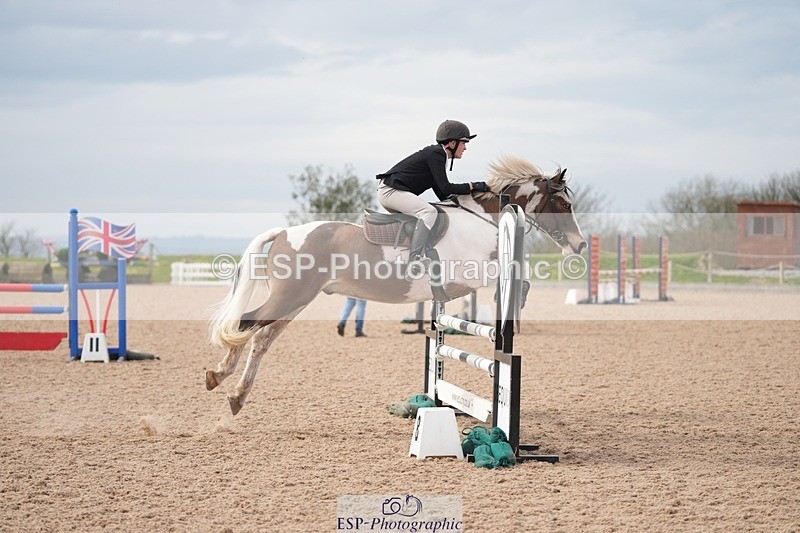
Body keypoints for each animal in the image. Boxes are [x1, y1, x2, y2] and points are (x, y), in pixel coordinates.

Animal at [206, 155, 587, 414]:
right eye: (564, 203)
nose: (580, 245)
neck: (482, 220)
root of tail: (285, 232)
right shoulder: (471, 275)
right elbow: (517, 277)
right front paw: (515, 300)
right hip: (289, 298)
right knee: (246, 325)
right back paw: (220, 377)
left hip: (296, 302)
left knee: (260, 339)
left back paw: (235, 394)